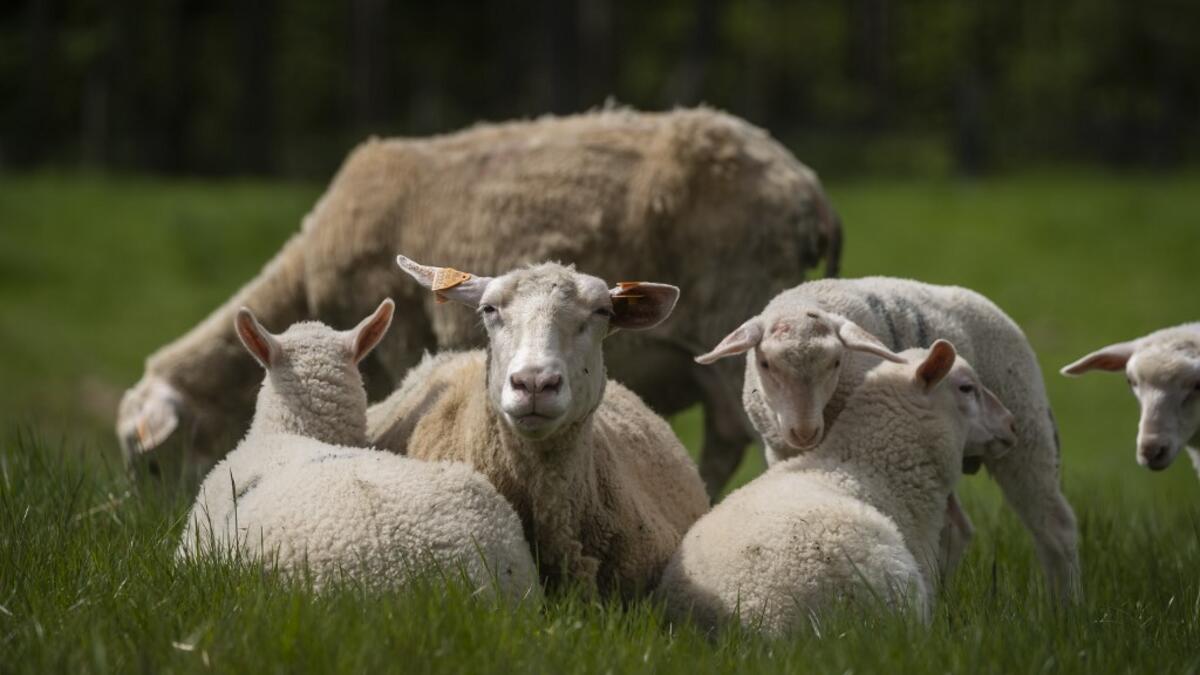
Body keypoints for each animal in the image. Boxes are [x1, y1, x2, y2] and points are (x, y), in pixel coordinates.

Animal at [694, 277, 1081, 601]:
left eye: (835, 362)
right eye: (766, 364)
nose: (804, 431)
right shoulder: (780, 450)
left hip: (1027, 425)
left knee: (1055, 527)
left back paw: (1064, 607)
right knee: (958, 528)